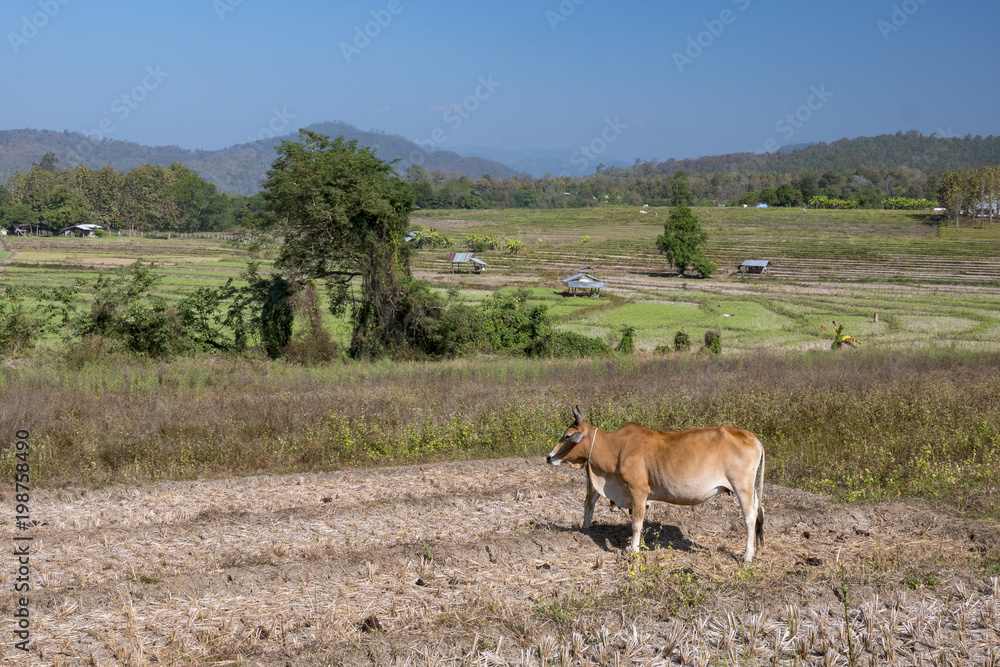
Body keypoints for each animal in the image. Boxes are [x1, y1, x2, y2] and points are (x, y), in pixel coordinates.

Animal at [546, 405, 765, 563]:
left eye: (567, 436)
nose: (549, 457)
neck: (616, 447)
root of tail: (752, 437)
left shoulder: (638, 491)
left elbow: (636, 524)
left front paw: (633, 550)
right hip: (750, 490)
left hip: (742, 487)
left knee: (750, 517)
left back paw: (747, 556)